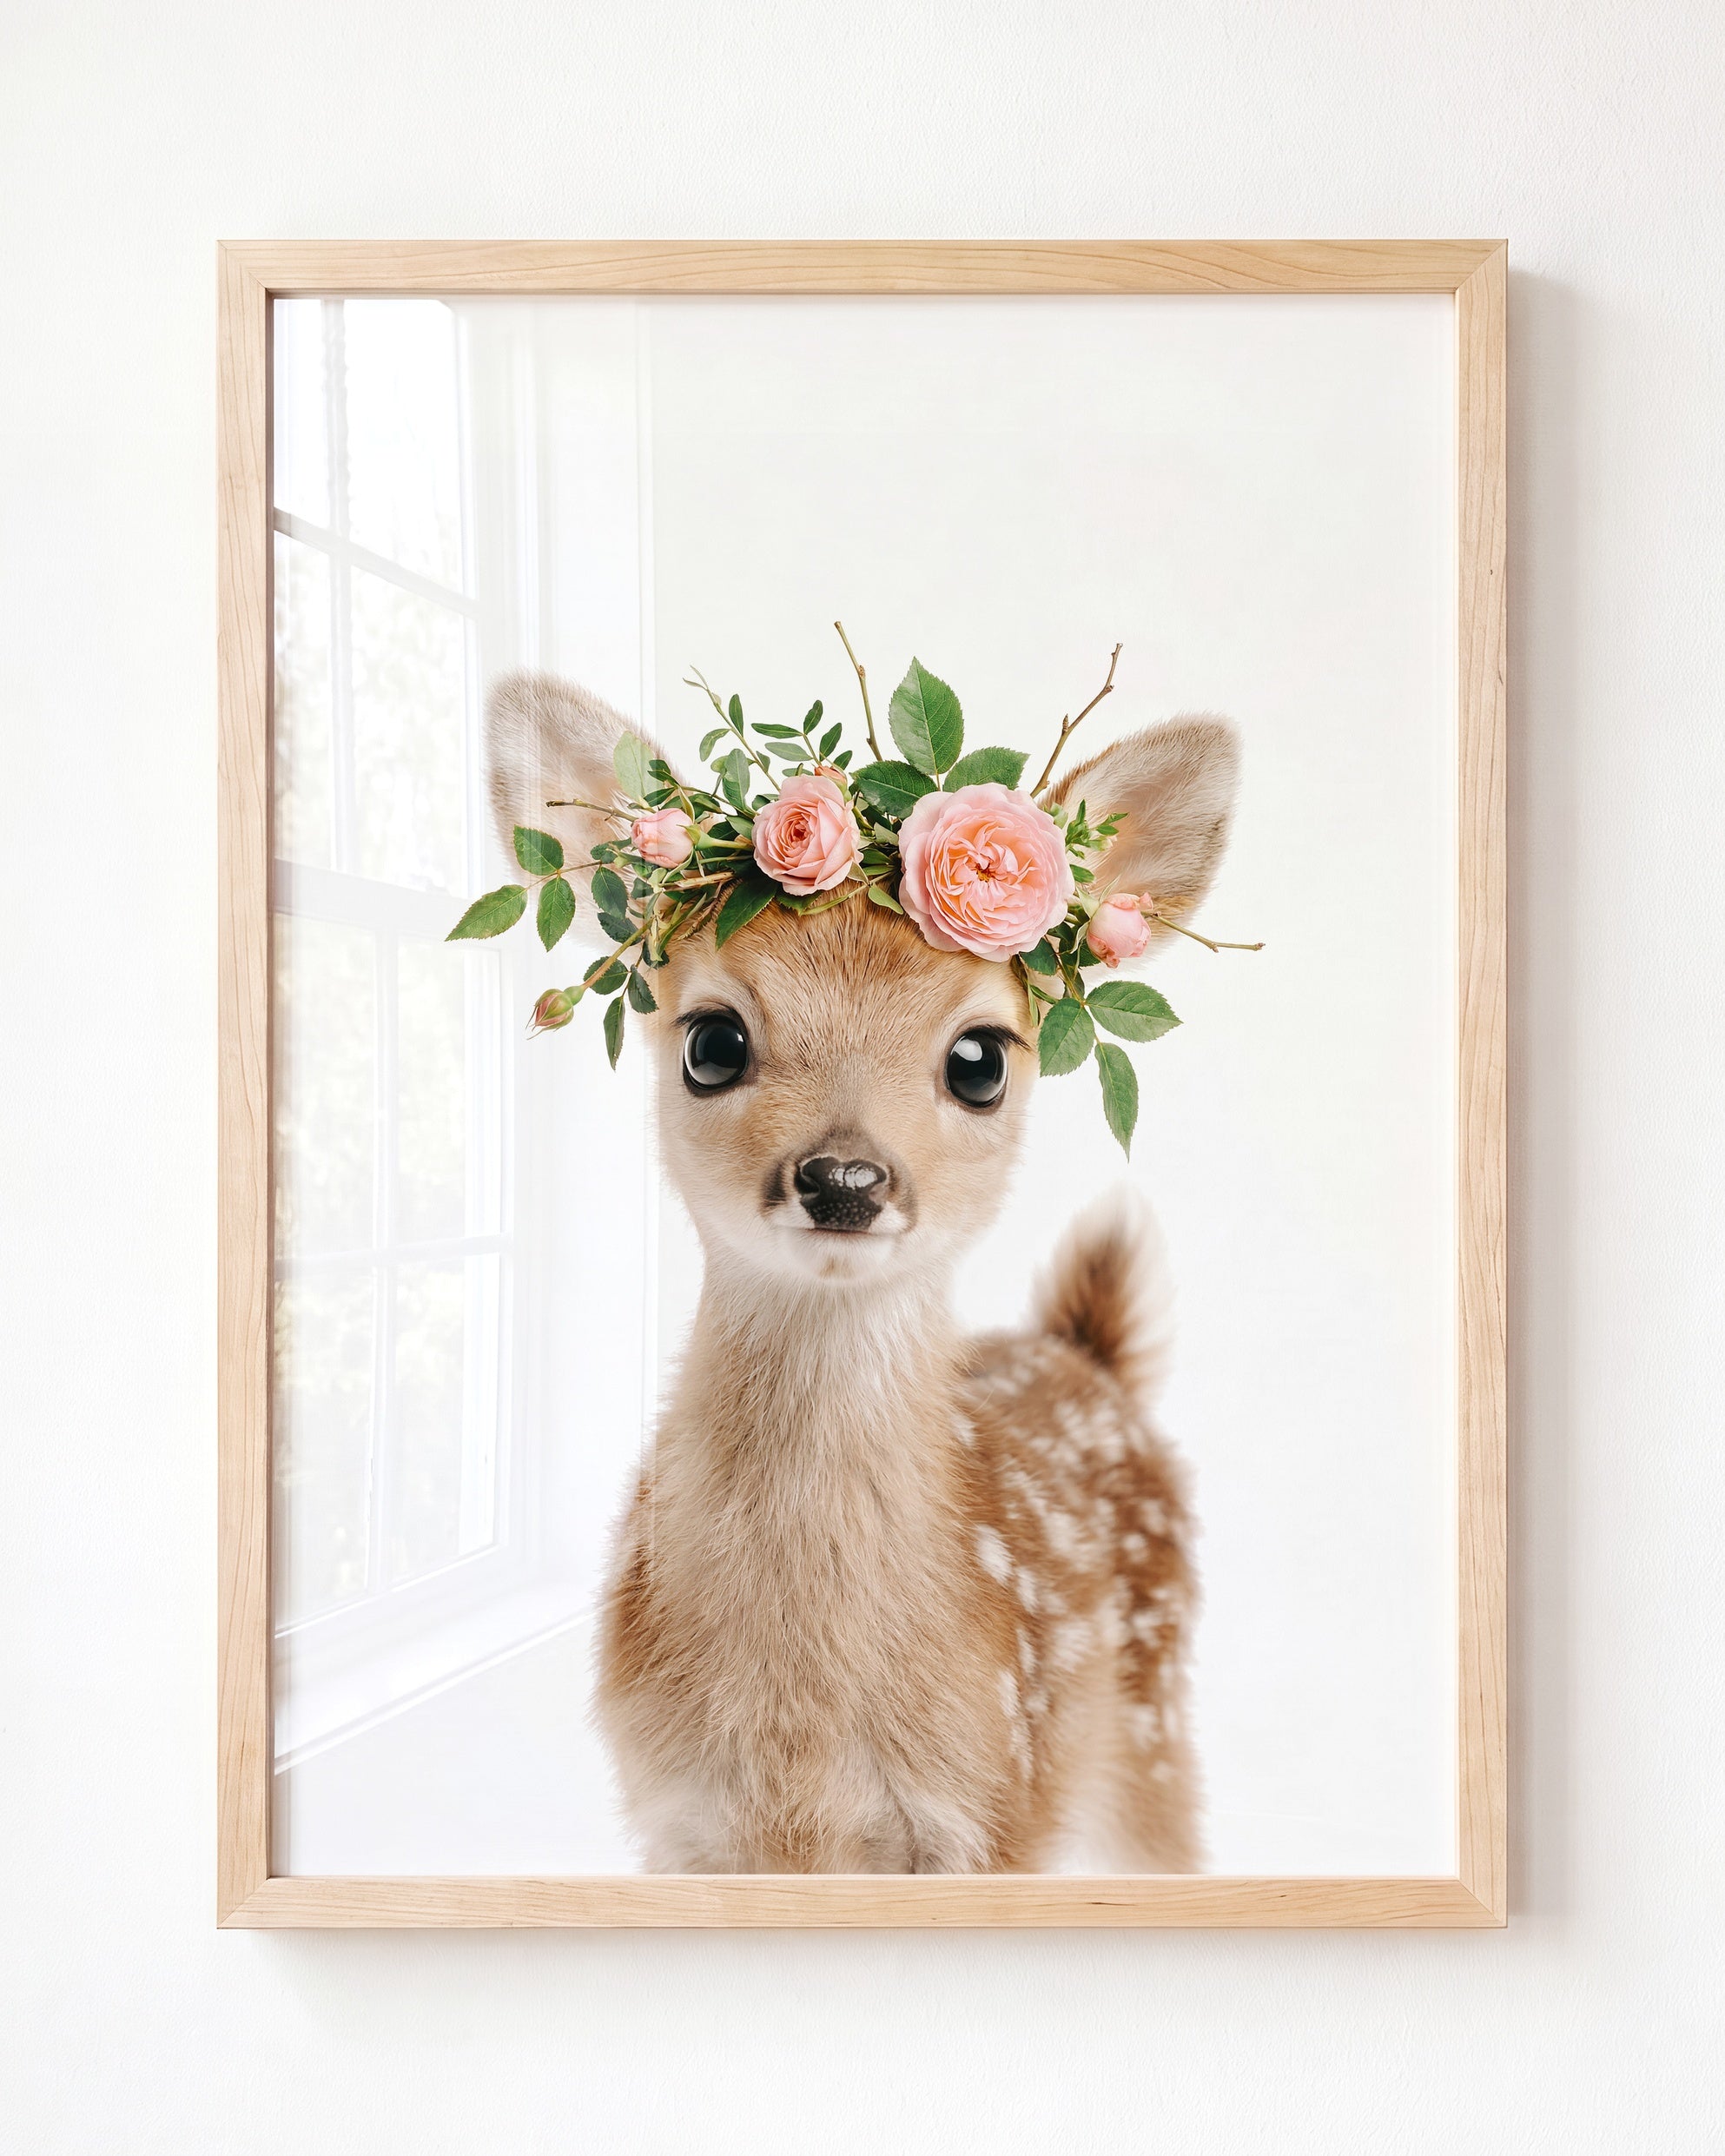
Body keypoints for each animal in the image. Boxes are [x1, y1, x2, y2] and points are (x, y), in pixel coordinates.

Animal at [485, 669, 1239, 1873]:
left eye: (980, 1059)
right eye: (711, 1042)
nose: (843, 1177)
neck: (801, 1739)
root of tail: (1087, 1356)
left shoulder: (991, 1808)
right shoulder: (679, 1822)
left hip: (1149, 1737)